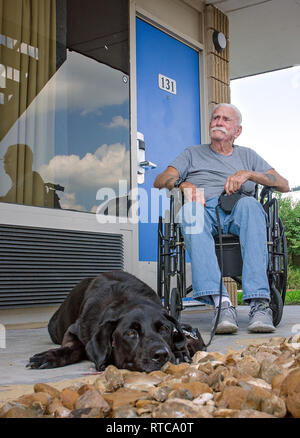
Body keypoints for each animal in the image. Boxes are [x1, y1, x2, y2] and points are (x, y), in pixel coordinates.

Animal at [27, 272, 204, 372]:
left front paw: (180, 352)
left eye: (165, 329)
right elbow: (73, 347)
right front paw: (49, 357)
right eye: (131, 333)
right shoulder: (73, 330)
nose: (161, 355)